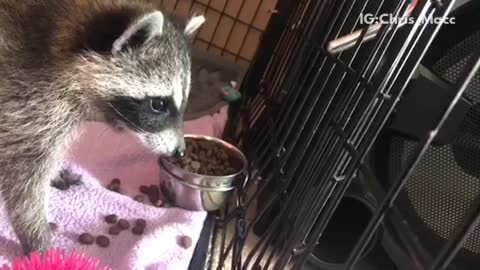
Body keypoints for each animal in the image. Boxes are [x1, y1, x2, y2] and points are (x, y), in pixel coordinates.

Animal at [0, 0, 204, 254]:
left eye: (184, 101)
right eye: (159, 104)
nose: (180, 152)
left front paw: (55, 173)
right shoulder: (27, 100)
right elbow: (23, 181)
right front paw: (37, 240)